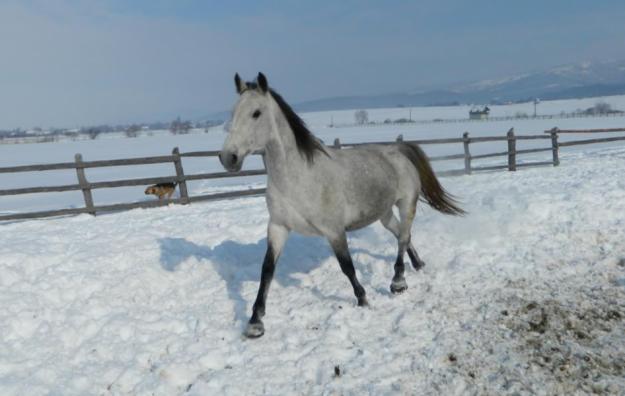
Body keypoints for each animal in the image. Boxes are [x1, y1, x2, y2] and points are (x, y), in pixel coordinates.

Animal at [219, 72, 464, 338]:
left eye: (256, 113)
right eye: (233, 112)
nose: (228, 157)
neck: (297, 178)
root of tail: (397, 149)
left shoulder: (334, 230)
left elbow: (347, 266)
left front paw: (363, 299)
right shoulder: (278, 227)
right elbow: (266, 270)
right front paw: (255, 322)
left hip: (406, 203)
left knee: (402, 238)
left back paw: (398, 282)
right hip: (384, 212)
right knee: (402, 233)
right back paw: (417, 264)